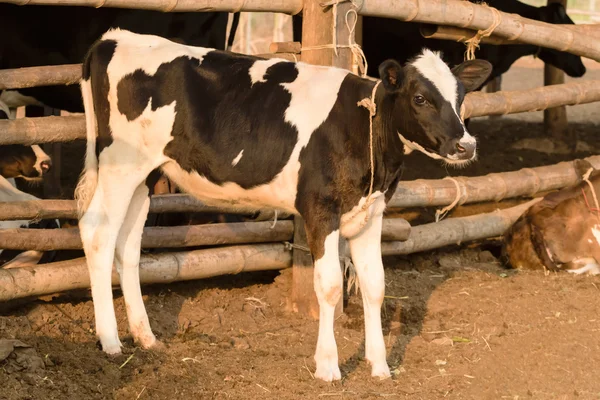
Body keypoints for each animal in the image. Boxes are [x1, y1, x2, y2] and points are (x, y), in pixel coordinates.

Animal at [77, 28, 492, 382]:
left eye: (460, 98)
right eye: (420, 98)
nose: (466, 145)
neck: (363, 128)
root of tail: (114, 38)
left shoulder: (372, 210)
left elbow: (375, 285)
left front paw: (379, 367)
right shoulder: (320, 209)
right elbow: (329, 286)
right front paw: (328, 367)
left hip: (145, 173)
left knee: (128, 245)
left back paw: (145, 337)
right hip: (119, 164)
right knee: (98, 233)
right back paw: (110, 341)